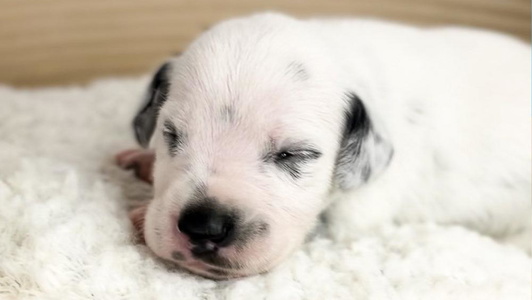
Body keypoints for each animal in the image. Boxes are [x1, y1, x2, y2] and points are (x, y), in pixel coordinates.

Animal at [115, 11, 528, 278]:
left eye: (294, 155)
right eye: (171, 135)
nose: (205, 226)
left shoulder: (358, 213)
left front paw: (139, 213)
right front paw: (143, 161)